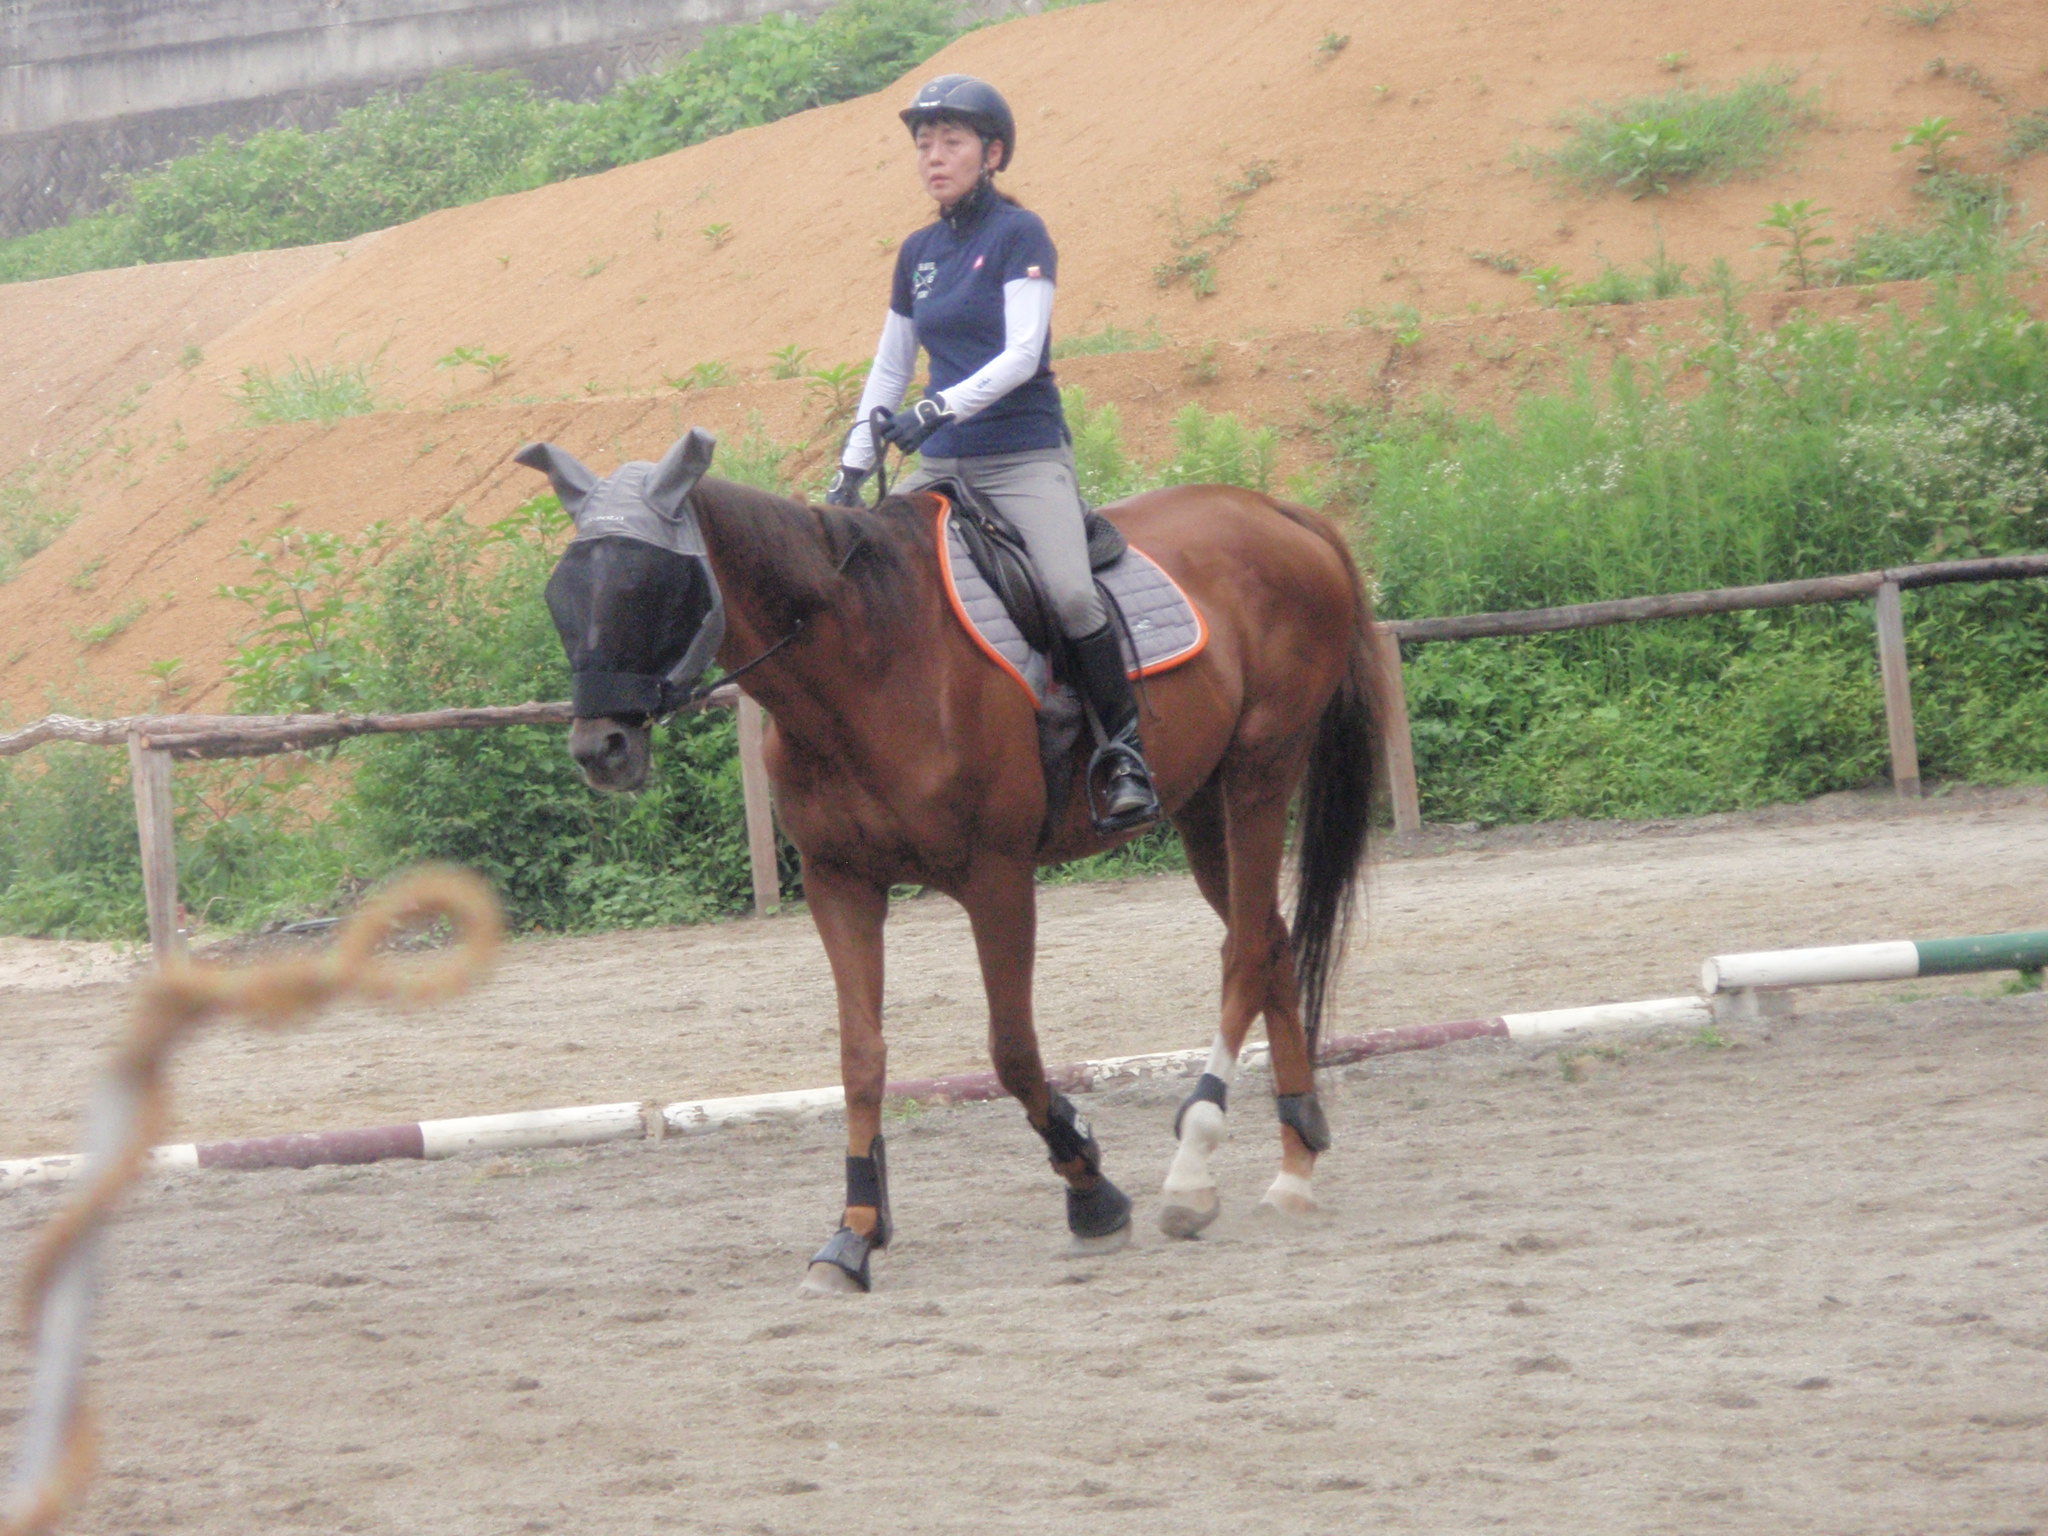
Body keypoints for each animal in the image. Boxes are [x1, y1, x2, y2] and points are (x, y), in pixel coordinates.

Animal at [515, 431, 1381, 1296]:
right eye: (562, 594)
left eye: (649, 584)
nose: (601, 750)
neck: (863, 657)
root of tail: (1278, 512)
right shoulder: (842, 884)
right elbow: (860, 1056)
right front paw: (854, 1234)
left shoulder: (996, 877)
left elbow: (1012, 1050)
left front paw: (1092, 1193)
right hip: (1203, 805)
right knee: (1269, 939)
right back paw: (1294, 1166)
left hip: (1260, 771)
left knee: (1245, 952)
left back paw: (1192, 1173)